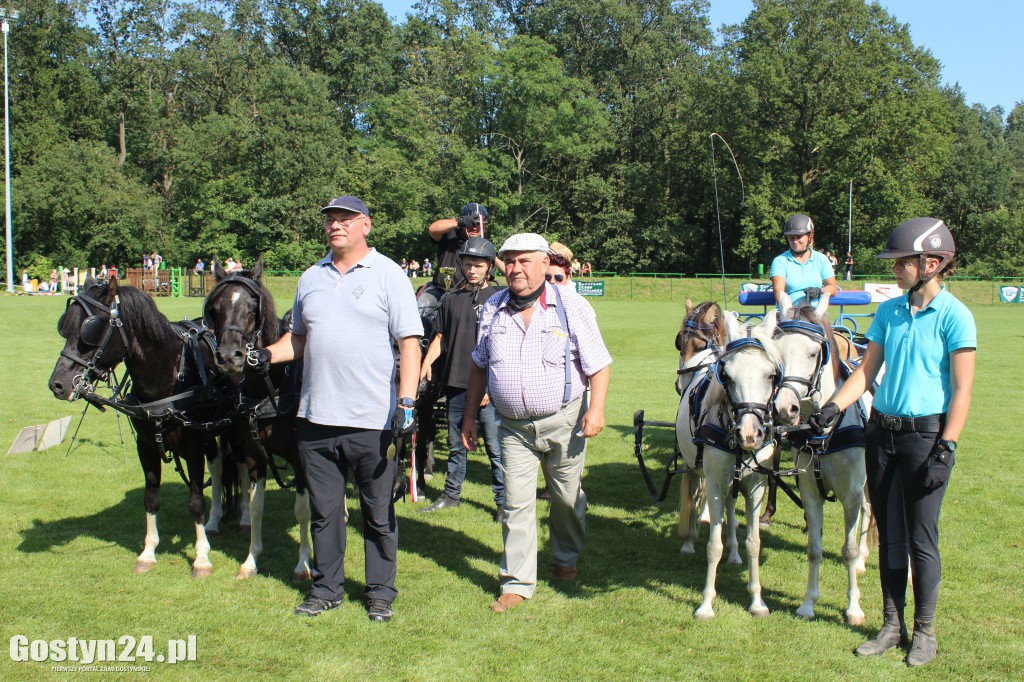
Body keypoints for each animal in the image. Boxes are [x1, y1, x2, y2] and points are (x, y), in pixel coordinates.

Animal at [675, 311, 778, 618]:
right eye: (728, 376)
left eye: (771, 375)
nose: (750, 433)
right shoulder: (715, 483)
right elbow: (713, 545)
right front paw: (706, 603)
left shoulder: (756, 486)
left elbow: (754, 543)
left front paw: (757, 601)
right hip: (694, 468)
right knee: (694, 498)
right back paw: (689, 542)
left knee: (731, 511)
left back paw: (734, 553)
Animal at [774, 288, 872, 622]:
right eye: (776, 351)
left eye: (813, 352)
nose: (784, 408)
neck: (823, 429)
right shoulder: (810, 492)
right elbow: (814, 548)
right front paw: (808, 604)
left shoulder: (850, 493)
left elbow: (848, 550)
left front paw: (854, 608)